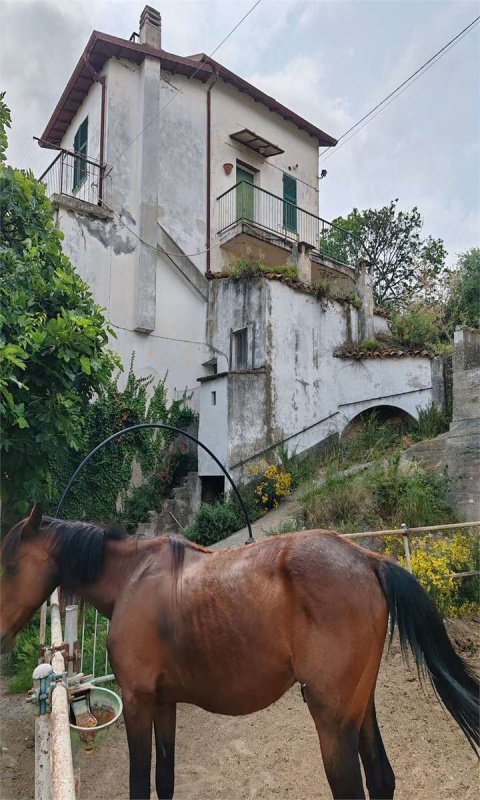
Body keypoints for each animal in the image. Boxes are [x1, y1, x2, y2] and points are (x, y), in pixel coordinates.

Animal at [1, 505, 478, 800]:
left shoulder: (137, 701)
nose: (1, 635)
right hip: (361, 709)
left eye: (9, 566)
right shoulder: (164, 704)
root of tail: (369, 560)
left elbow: (140, 784)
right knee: (382, 779)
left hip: (332, 720)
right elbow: (165, 781)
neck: (131, 579)